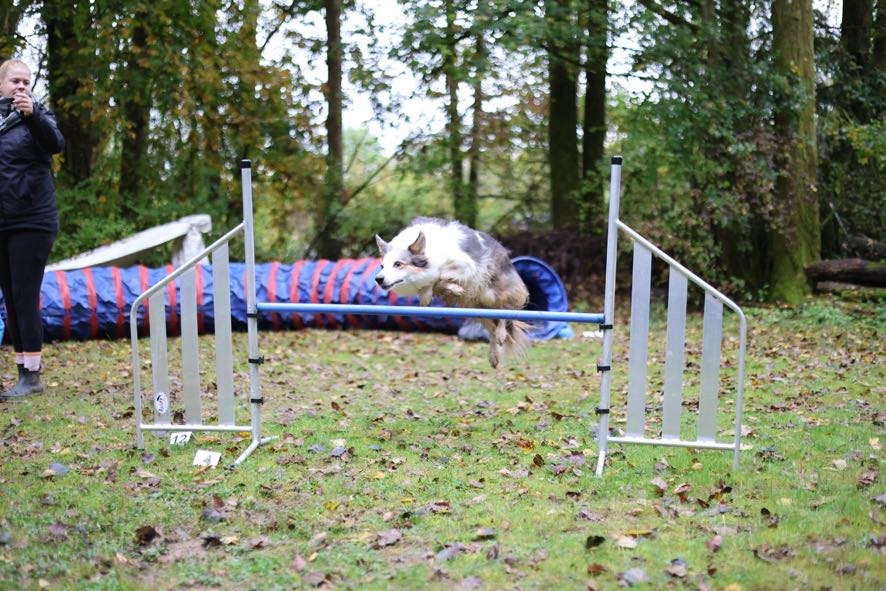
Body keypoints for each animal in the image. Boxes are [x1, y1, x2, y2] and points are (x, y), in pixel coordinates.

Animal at [376, 217, 532, 368]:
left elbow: (438, 275)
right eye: (382, 266)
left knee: (504, 312)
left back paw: (501, 334)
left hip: (491, 294)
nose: (378, 279)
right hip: (478, 309)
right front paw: (443, 290)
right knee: (491, 330)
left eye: (398, 264)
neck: (432, 250)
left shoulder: (467, 266)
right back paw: (493, 356)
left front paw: (435, 290)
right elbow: (436, 282)